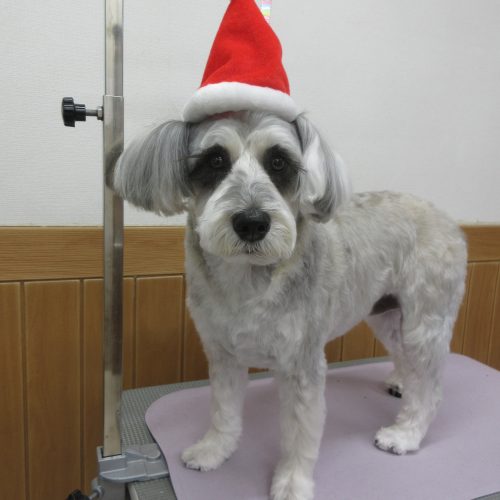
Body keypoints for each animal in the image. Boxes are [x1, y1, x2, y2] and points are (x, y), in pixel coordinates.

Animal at [113, 111, 467, 500]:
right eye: (215, 160)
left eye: (279, 162)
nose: (252, 223)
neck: (247, 279)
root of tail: (448, 220)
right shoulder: (223, 354)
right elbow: (223, 411)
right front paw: (214, 450)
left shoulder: (302, 364)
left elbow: (299, 434)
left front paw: (292, 482)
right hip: (387, 314)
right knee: (404, 355)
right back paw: (402, 383)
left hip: (426, 318)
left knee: (431, 388)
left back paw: (405, 434)